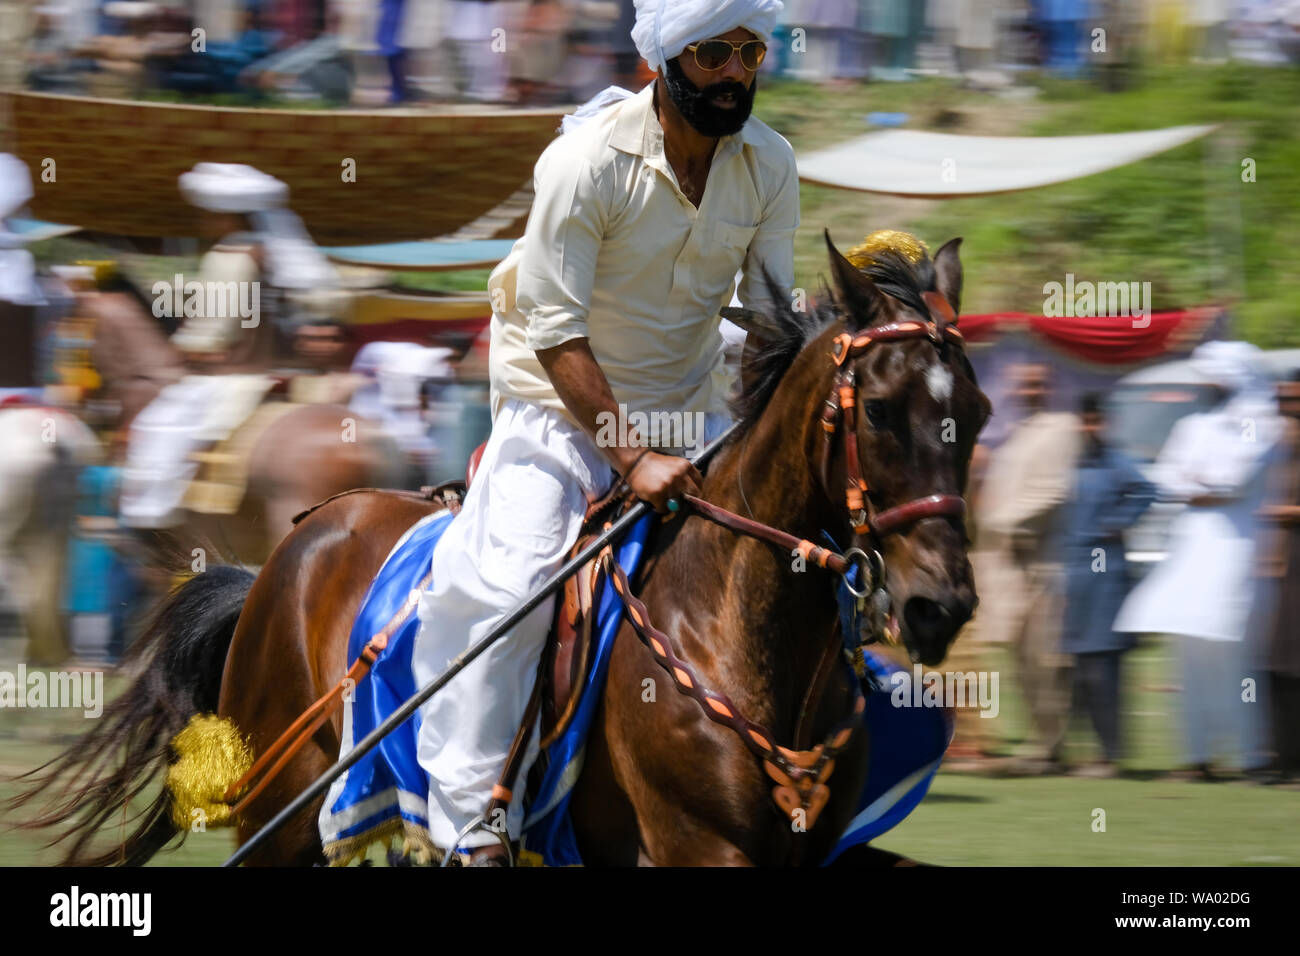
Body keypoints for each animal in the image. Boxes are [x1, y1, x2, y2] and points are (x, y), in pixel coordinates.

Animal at [10, 234, 987, 868]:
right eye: (877, 411)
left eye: (974, 414)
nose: (941, 604)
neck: (734, 630)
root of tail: (293, 549)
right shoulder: (698, 845)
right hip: (284, 806)